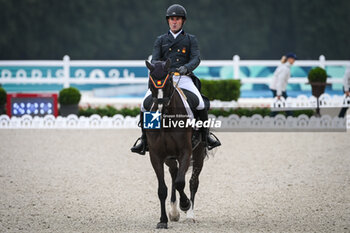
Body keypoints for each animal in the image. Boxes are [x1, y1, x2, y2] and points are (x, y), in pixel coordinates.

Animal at [144, 59, 206, 229]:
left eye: (168, 82)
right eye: (150, 82)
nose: (160, 105)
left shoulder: (185, 152)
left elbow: (180, 183)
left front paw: (185, 204)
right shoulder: (156, 156)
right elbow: (162, 189)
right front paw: (163, 220)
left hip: (198, 154)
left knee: (192, 182)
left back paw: (190, 214)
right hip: (169, 158)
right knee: (174, 173)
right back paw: (173, 212)